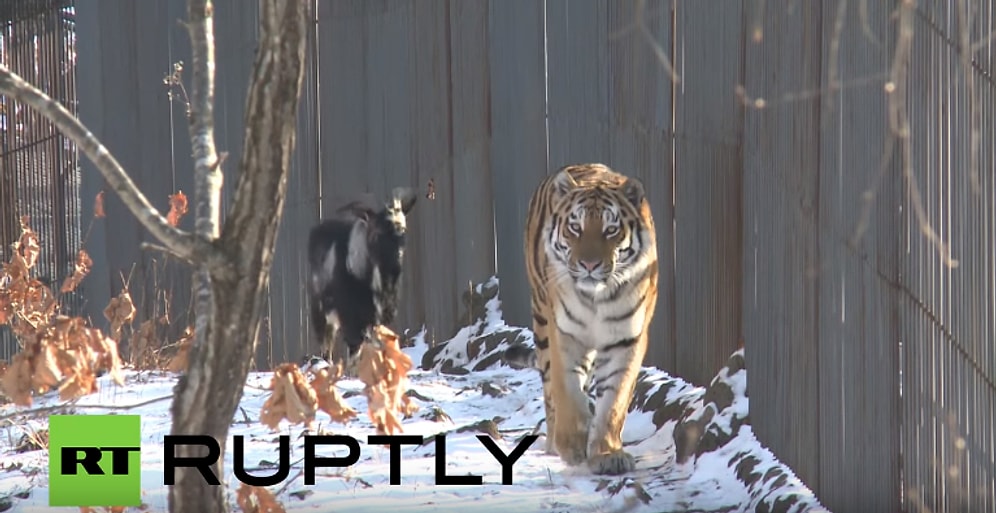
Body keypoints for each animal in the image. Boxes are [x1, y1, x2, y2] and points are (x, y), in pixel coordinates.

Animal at [304, 188, 412, 368]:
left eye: (403, 229)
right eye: (377, 233)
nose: (395, 266)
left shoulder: (375, 318)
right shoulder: (350, 317)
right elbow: (354, 351)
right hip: (320, 311)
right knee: (326, 344)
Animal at [516, 162, 656, 474]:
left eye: (611, 230)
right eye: (575, 228)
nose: (589, 264)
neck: (597, 299)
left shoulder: (625, 340)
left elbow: (613, 402)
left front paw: (607, 454)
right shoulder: (564, 335)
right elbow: (568, 392)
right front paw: (571, 445)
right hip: (542, 324)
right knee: (549, 391)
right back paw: (553, 443)